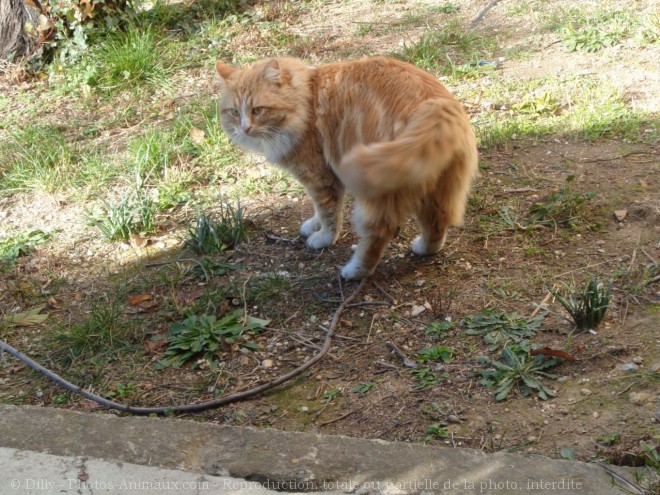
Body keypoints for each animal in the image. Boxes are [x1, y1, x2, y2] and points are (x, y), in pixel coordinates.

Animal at [217, 55, 480, 280]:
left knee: (379, 233)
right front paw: (313, 225)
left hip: (380, 194)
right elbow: (318, 209)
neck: (306, 98)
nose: (244, 128)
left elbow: (329, 212)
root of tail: (436, 105)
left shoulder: (319, 176)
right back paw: (425, 249)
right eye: (234, 112)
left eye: (257, 110)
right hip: (435, 190)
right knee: (437, 222)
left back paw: (355, 271)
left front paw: (323, 237)